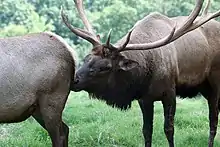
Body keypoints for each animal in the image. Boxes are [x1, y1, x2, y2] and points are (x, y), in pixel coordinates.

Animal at [61, 0, 220, 146]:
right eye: (86, 58)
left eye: (105, 67)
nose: (74, 80)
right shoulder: (144, 98)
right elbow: (147, 130)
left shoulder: (170, 93)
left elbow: (169, 129)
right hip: (204, 87)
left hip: (214, 83)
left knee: (213, 119)